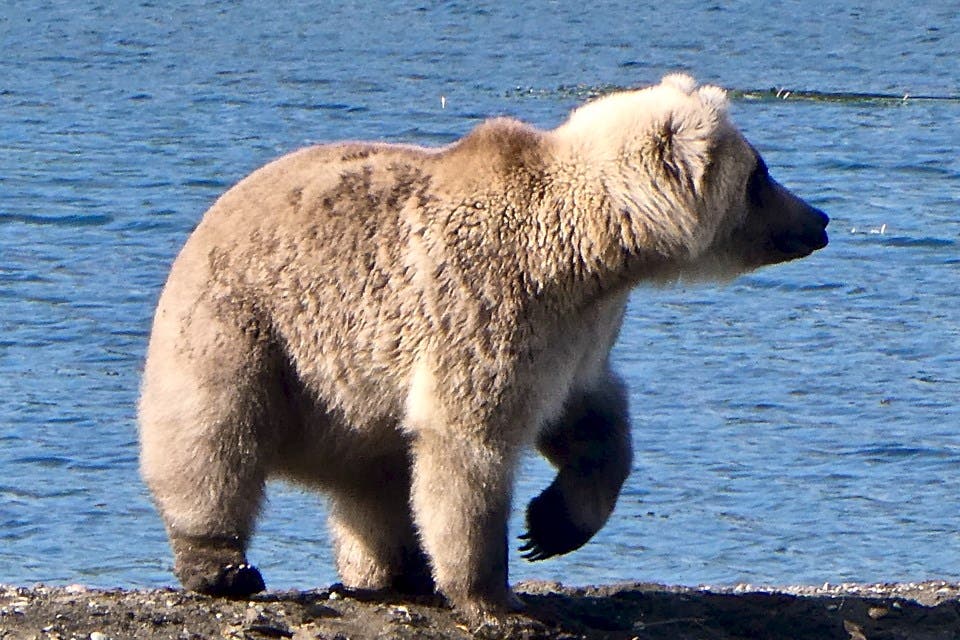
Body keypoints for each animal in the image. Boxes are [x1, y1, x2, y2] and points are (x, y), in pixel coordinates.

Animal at [139, 73, 828, 618]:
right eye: (761, 174)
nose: (818, 219)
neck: (593, 252)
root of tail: (208, 218)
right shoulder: (487, 301)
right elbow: (468, 443)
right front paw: (494, 593)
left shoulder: (578, 333)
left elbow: (590, 419)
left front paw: (551, 525)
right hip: (253, 329)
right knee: (214, 437)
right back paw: (223, 564)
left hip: (353, 394)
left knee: (379, 473)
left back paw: (397, 569)